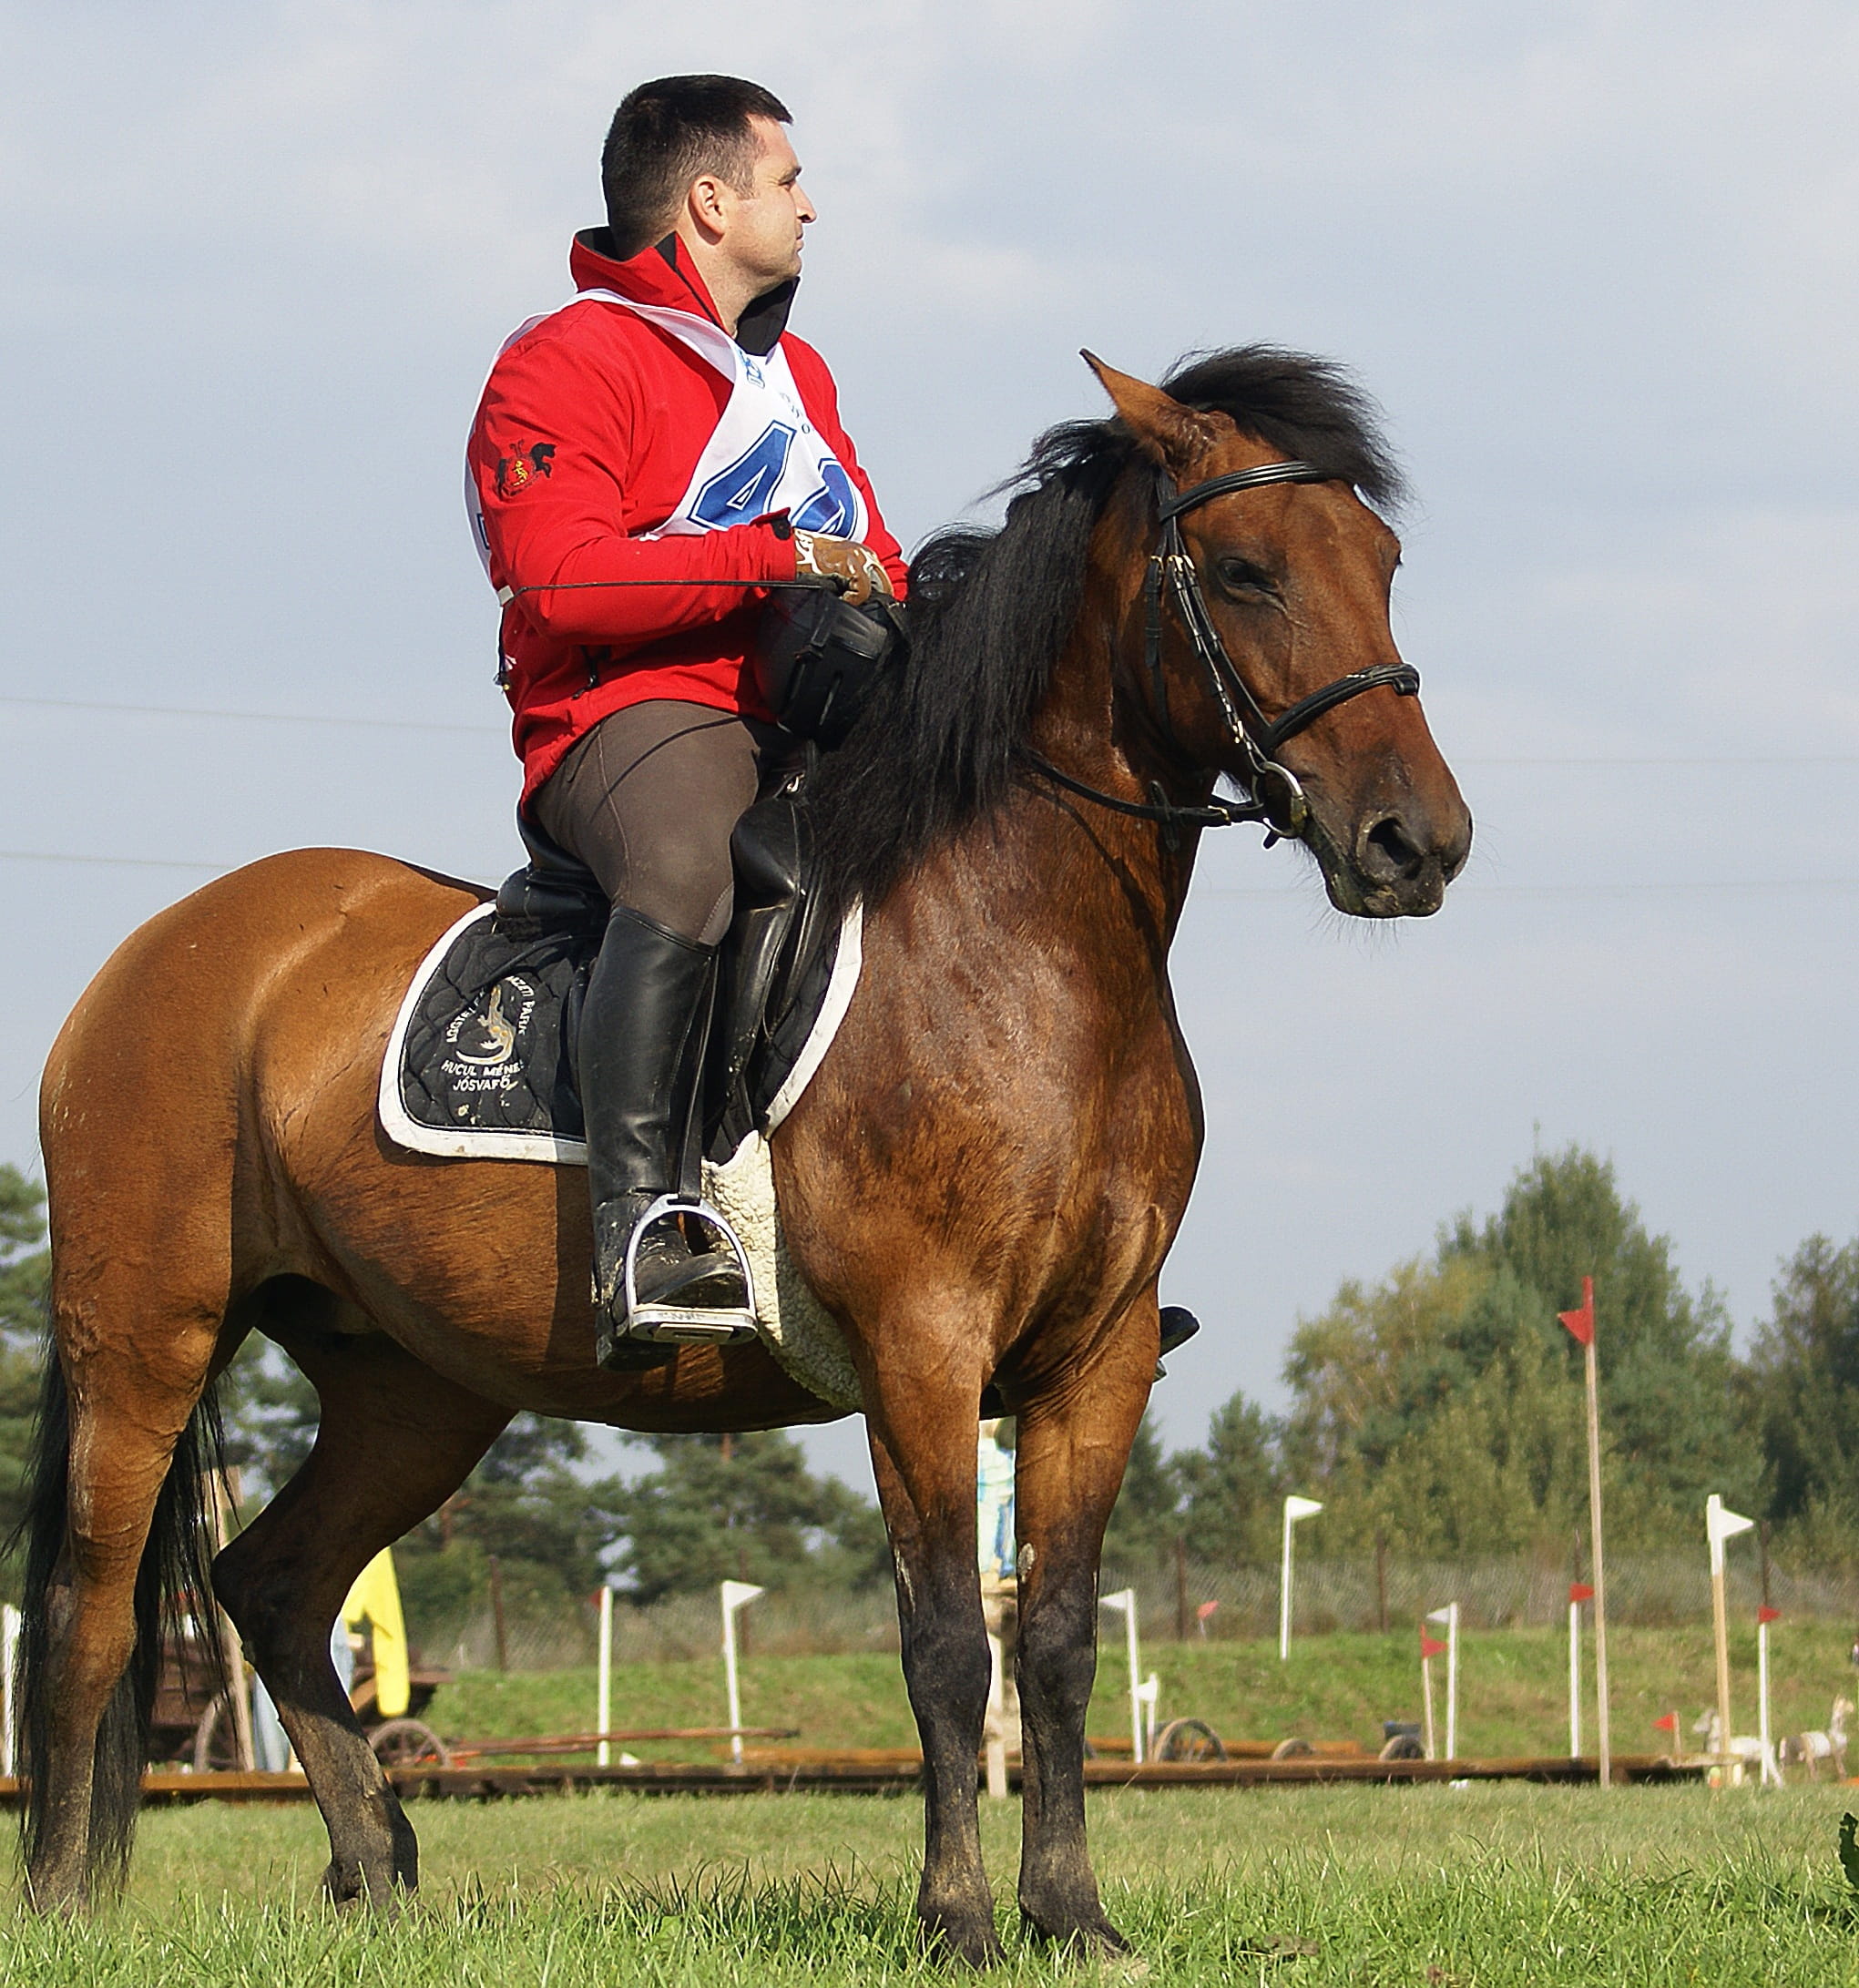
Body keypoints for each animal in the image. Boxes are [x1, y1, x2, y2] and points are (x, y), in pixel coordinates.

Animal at [19, 345, 1470, 1962]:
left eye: (1381, 560)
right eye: (1244, 568)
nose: (1414, 840)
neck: (1030, 949)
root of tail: (155, 952)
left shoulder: (1093, 1360)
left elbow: (1055, 1638)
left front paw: (1073, 1913)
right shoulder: (921, 1348)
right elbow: (947, 1643)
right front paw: (960, 1918)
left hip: (412, 1388)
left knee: (270, 1583)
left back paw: (377, 1866)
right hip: (146, 1334)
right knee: (91, 1610)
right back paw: (66, 1893)